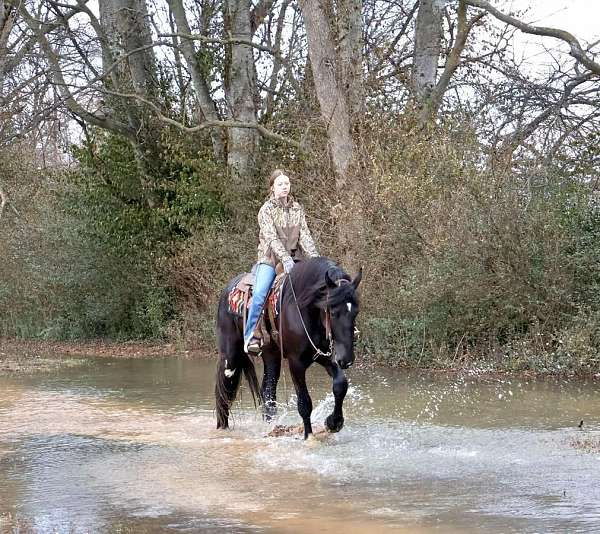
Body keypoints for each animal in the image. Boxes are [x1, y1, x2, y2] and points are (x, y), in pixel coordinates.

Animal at [218, 258, 364, 440]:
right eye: (333, 312)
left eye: (355, 312)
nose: (347, 359)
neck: (305, 309)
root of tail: (227, 290)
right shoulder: (296, 363)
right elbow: (304, 403)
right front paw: (309, 436)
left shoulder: (326, 356)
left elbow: (340, 385)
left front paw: (333, 422)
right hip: (230, 356)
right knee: (224, 391)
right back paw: (222, 427)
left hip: (271, 355)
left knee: (268, 391)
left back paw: (271, 426)